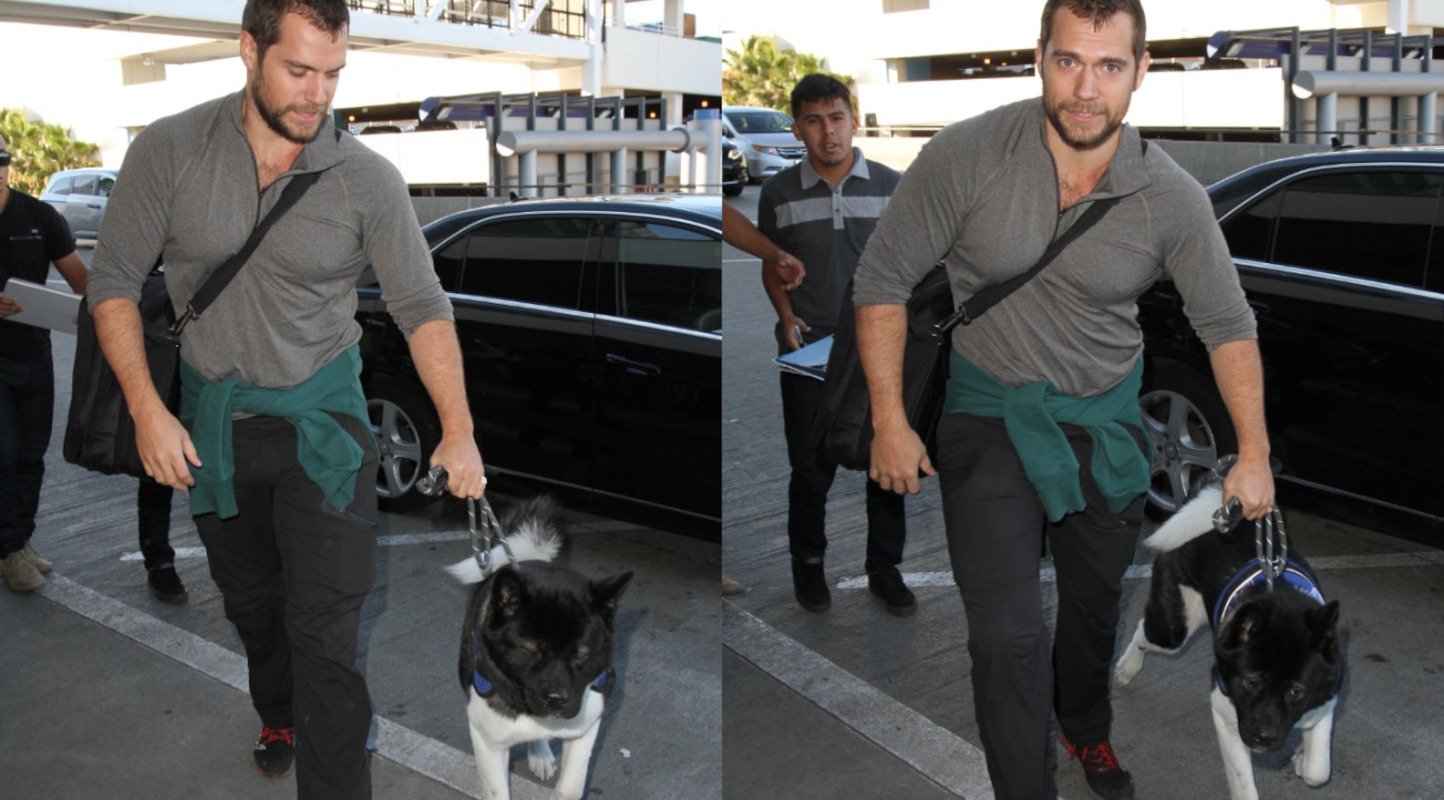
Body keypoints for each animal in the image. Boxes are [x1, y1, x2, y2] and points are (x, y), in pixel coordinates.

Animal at [444, 493, 632, 791]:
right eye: (530, 649)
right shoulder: (488, 740)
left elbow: (571, 787)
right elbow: (498, 790)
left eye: (581, 652)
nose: (557, 700)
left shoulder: (588, 726)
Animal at [1114, 485, 1340, 797]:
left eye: (1296, 691)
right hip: (1174, 630)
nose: (1263, 738)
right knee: (1143, 630)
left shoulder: (1327, 697)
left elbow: (1318, 770)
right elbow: (1243, 784)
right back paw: (1126, 668)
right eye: (1251, 681)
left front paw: (1302, 757)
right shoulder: (1225, 713)